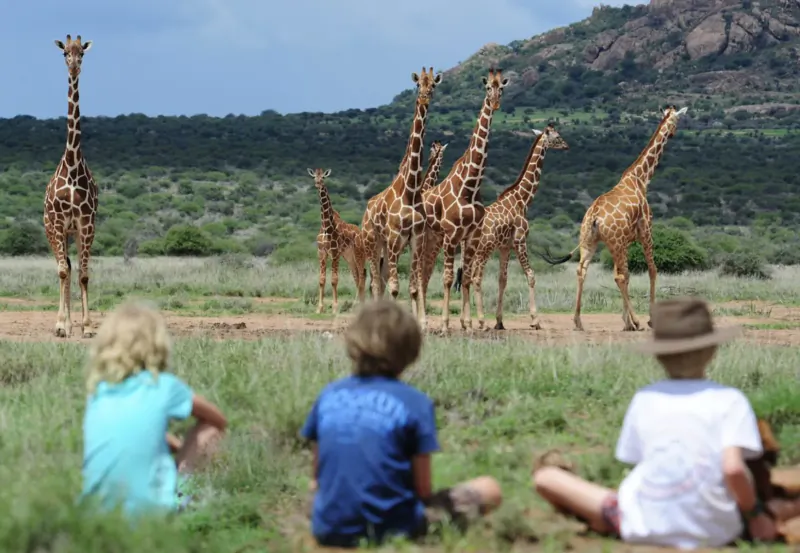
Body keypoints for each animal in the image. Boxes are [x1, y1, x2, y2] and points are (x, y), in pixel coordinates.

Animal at [309, 168, 366, 315]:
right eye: (314, 176)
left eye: (323, 177)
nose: (317, 184)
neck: (326, 225)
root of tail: (361, 233)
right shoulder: (322, 253)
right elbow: (321, 280)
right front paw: (319, 308)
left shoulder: (335, 253)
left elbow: (334, 280)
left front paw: (334, 308)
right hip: (349, 257)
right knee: (357, 277)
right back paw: (359, 305)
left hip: (359, 254)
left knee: (362, 276)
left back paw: (358, 305)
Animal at [361, 67, 442, 327]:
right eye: (418, 85)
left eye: (433, 85)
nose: (424, 98)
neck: (411, 190)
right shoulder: (396, 238)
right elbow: (395, 288)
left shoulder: (416, 239)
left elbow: (414, 288)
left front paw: (422, 323)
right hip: (373, 242)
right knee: (377, 283)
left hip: (387, 247)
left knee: (382, 279)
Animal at [418, 68, 509, 332]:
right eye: (488, 87)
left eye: (502, 88)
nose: (495, 103)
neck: (470, 185)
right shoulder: (452, 235)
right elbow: (449, 278)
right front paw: (446, 324)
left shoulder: (471, 236)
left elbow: (466, 278)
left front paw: (468, 324)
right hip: (424, 239)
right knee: (417, 274)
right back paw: (422, 320)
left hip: (433, 239)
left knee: (423, 275)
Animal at [462, 124, 570, 331]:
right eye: (557, 136)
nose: (567, 146)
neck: (522, 199)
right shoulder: (520, 240)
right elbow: (531, 275)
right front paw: (535, 320)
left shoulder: (505, 247)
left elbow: (502, 280)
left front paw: (499, 321)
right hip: (483, 250)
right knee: (476, 278)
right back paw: (481, 321)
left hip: (469, 251)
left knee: (465, 277)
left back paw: (466, 322)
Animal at [535, 106, 689, 331]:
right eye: (678, 120)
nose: (673, 133)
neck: (641, 178)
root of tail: (594, 217)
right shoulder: (646, 233)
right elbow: (651, 270)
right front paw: (646, 320)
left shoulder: (625, 241)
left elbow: (628, 274)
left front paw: (626, 322)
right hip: (614, 242)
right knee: (618, 276)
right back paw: (637, 321)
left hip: (591, 242)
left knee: (582, 271)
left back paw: (578, 321)